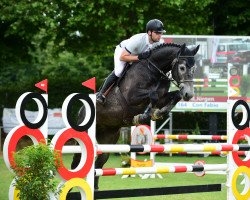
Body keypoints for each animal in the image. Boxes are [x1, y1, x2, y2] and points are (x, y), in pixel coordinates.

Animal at [71, 42, 200, 189]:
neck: (153, 70)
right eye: (182, 67)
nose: (189, 94)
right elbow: (153, 95)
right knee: (76, 161)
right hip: (84, 135)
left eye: (194, 69)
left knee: (99, 163)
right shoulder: (132, 97)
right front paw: (145, 115)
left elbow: (174, 96)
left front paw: (157, 113)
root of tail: (81, 110)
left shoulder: (163, 98)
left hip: (109, 137)